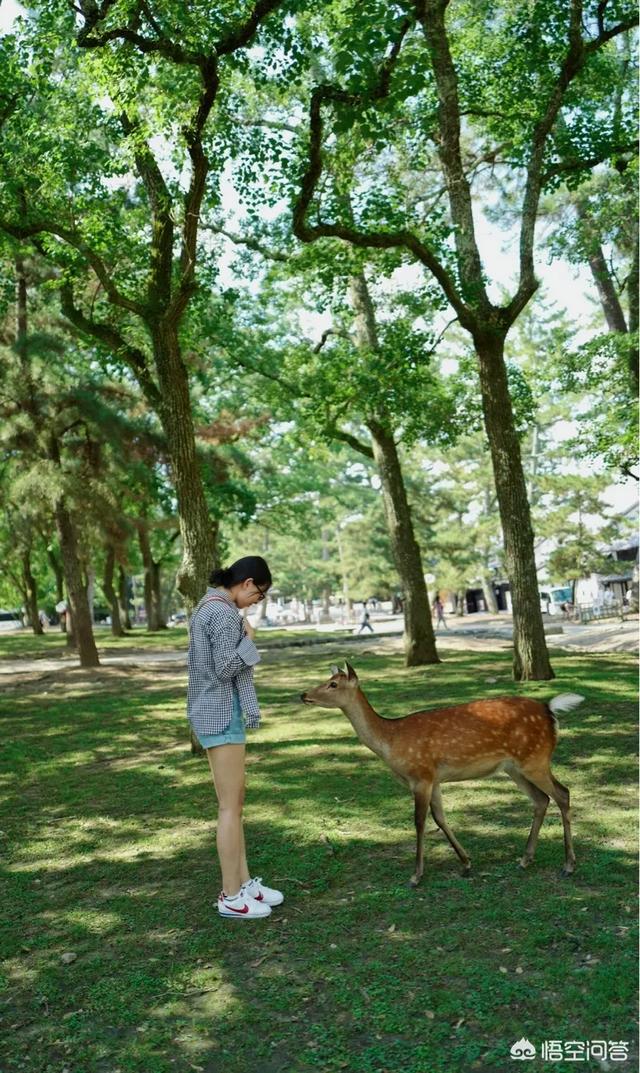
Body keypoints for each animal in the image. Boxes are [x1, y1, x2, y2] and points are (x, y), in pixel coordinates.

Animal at [300, 660, 584, 888]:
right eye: (327, 680)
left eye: (333, 684)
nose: (303, 694)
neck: (391, 741)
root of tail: (550, 711)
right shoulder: (434, 779)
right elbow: (440, 818)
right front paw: (466, 862)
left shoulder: (421, 776)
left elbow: (419, 822)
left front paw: (416, 876)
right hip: (514, 767)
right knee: (541, 800)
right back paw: (525, 859)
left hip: (535, 759)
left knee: (562, 793)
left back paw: (568, 865)